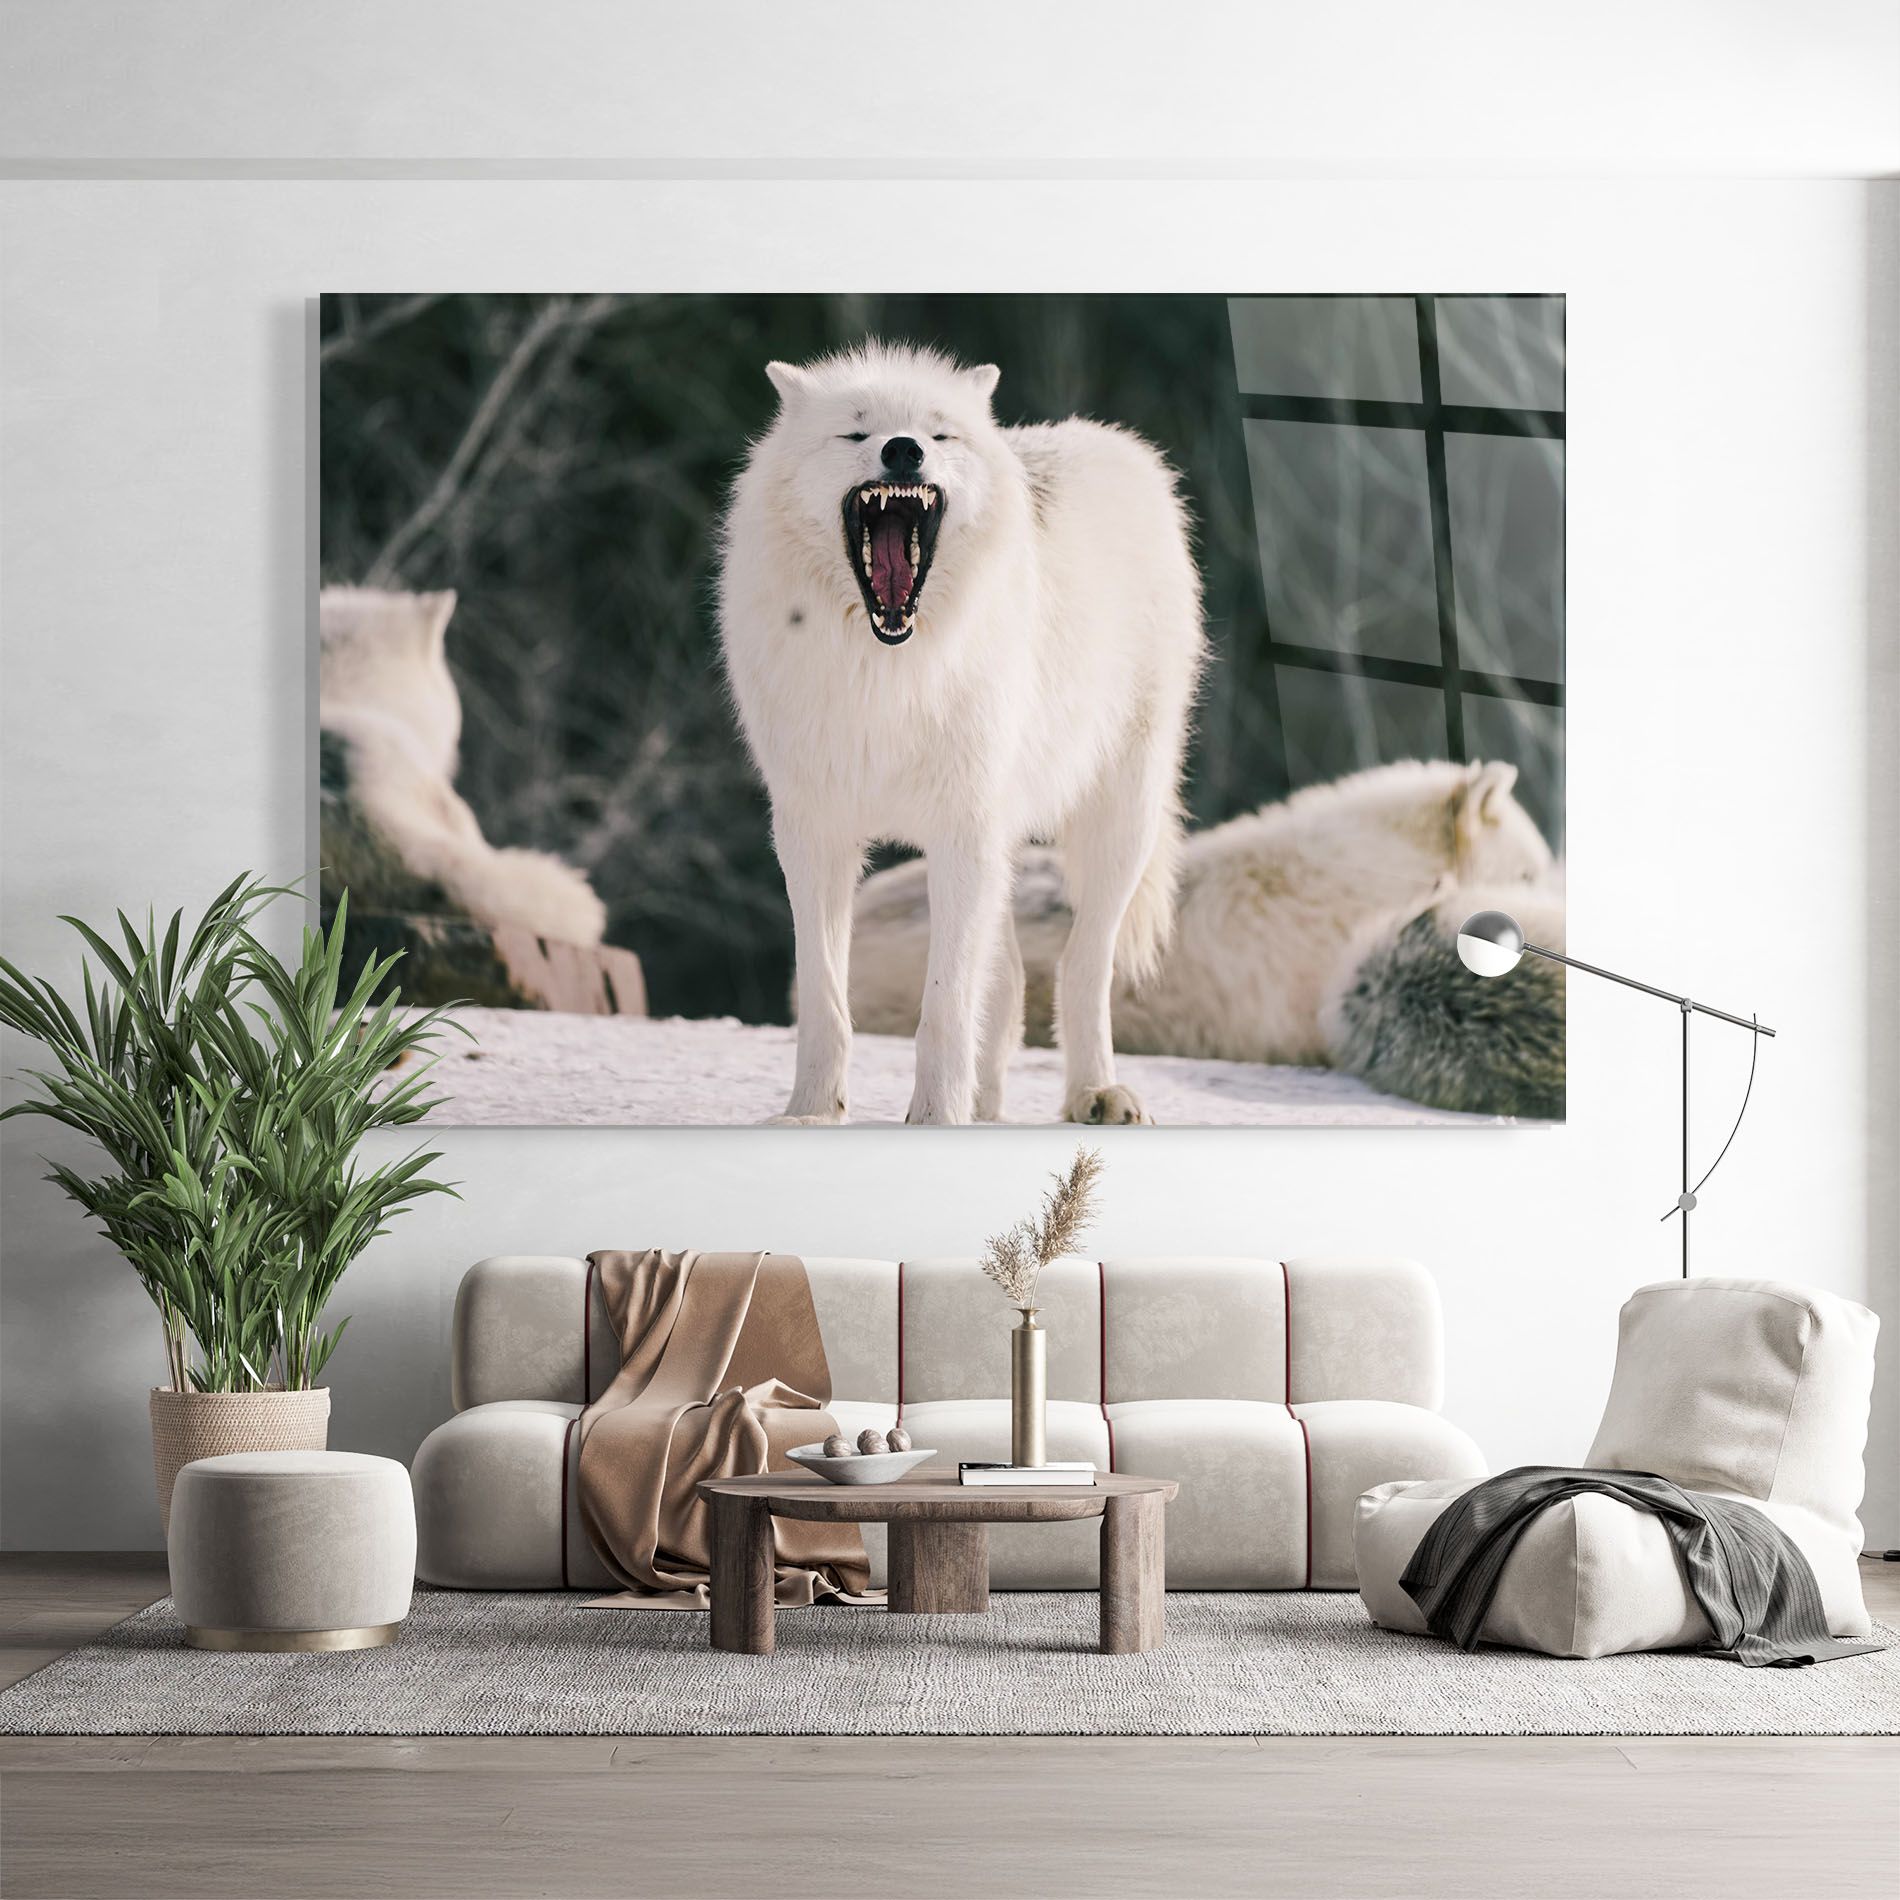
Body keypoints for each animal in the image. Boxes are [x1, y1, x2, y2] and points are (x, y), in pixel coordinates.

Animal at [718, 343, 1205, 1126]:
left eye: (938, 433)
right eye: (857, 432)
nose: (904, 450)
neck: (887, 671)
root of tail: (1116, 444)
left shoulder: (961, 831)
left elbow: (944, 1007)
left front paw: (935, 1116)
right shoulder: (813, 832)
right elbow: (824, 997)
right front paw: (812, 1112)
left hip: (1118, 821)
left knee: (1081, 963)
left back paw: (1095, 1092)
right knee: (1006, 982)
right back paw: (989, 1103)